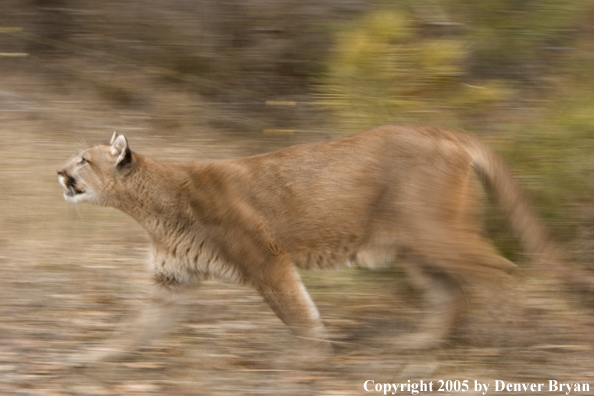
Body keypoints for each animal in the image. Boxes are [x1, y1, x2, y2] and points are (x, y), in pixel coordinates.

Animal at [55, 125, 588, 360]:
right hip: (414, 247)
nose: (58, 171)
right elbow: (135, 327)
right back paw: (417, 343)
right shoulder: (169, 282)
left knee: (502, 272)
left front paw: (313, 357)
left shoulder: (266, 259)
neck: (151, 207)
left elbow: (297, 311)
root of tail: (442, 130)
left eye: (83, 159)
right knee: (450, 292)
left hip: (434, 234)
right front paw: (91, 358)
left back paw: (501, 342)